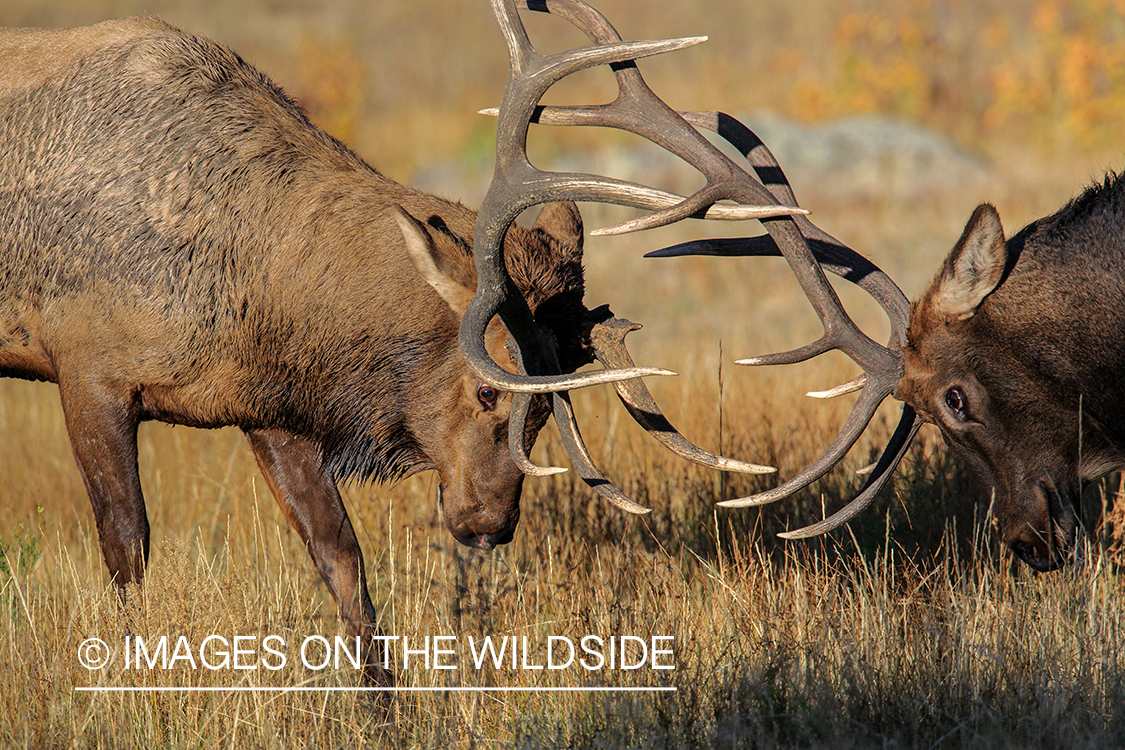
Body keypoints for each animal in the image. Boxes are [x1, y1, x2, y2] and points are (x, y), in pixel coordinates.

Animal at [0, 16, 801, 688]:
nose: (487, 524)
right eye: (487, 390)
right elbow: (126, 544)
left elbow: (342, 560)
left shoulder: (267, 410)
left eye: (551, 410)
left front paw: (386, 704)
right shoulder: (89, 368)